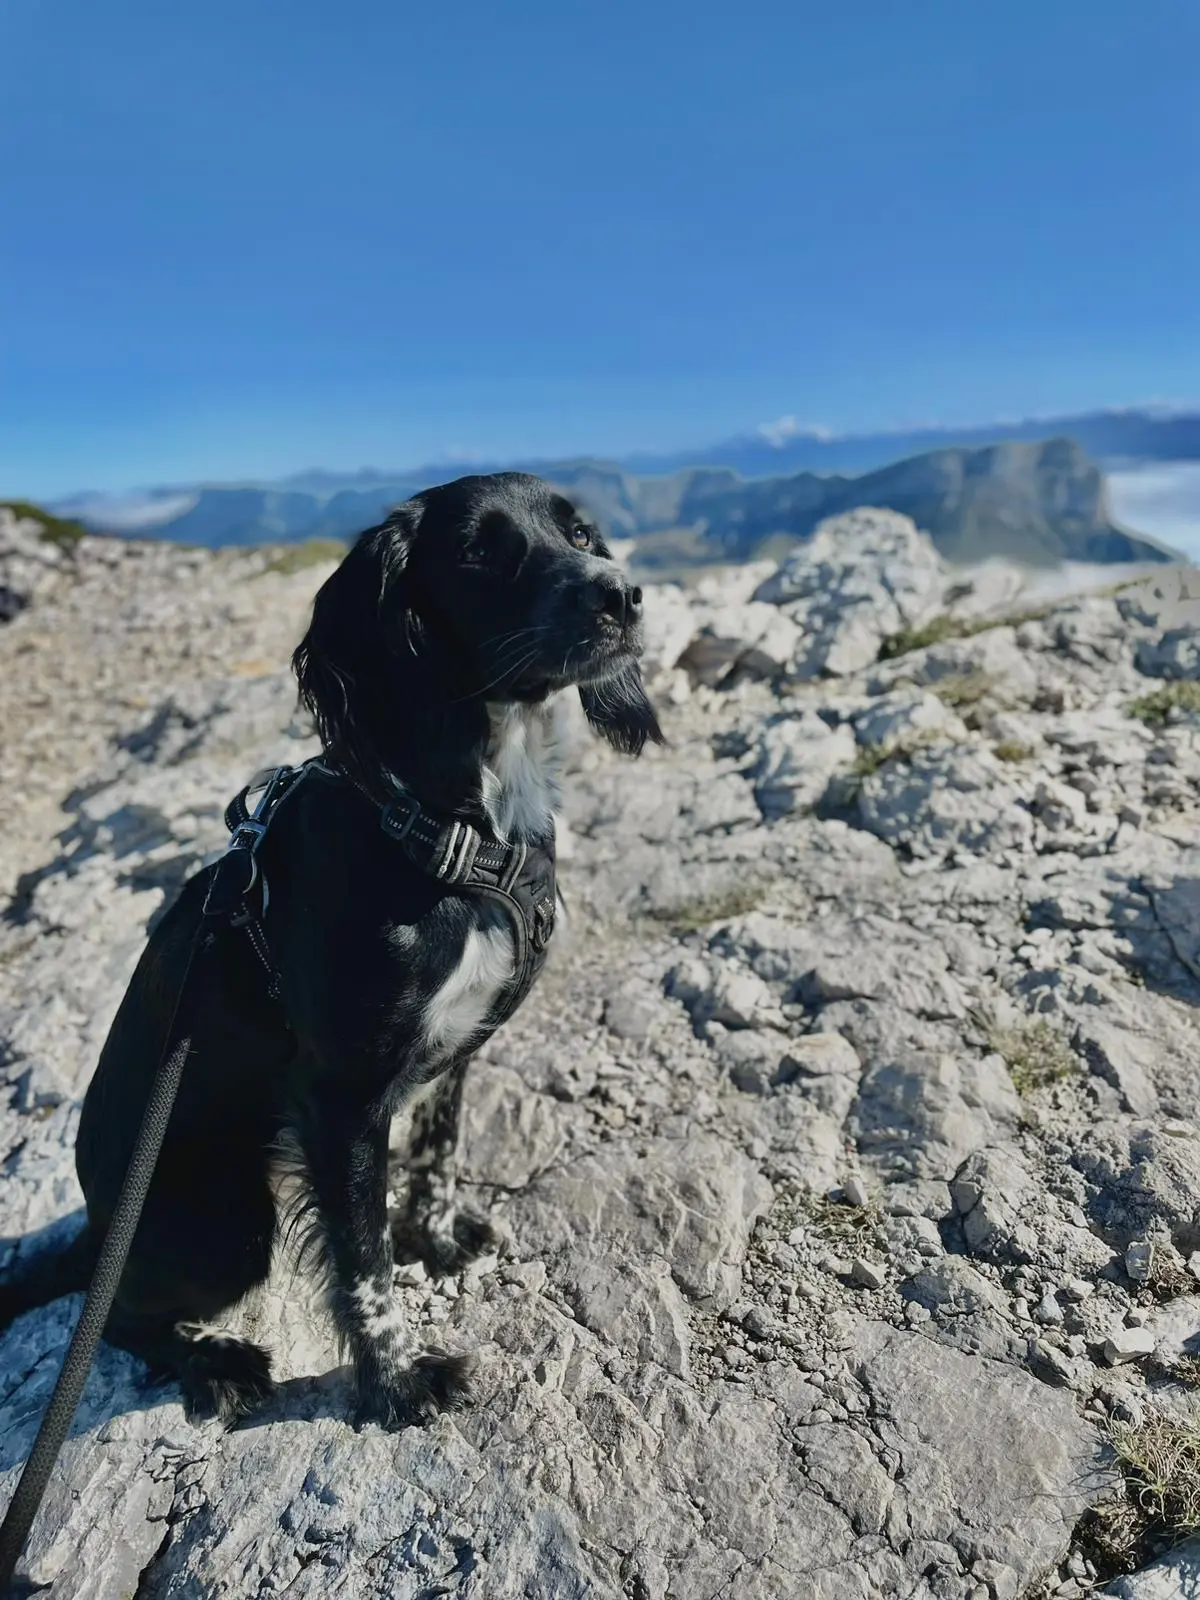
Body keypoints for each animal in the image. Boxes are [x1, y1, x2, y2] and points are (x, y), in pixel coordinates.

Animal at [0, 470, 659, 1427]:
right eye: (479, 552)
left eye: (581, 534)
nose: (623, 594)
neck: (457, 827)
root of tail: (95, 1223)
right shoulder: (340, 1099)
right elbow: (363, 1260)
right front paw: (398, 1382)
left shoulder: (453, 1052)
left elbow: (438, 1151)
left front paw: (439, 1234)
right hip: (229, 1220)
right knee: (117, 1315)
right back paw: (217, 1362)